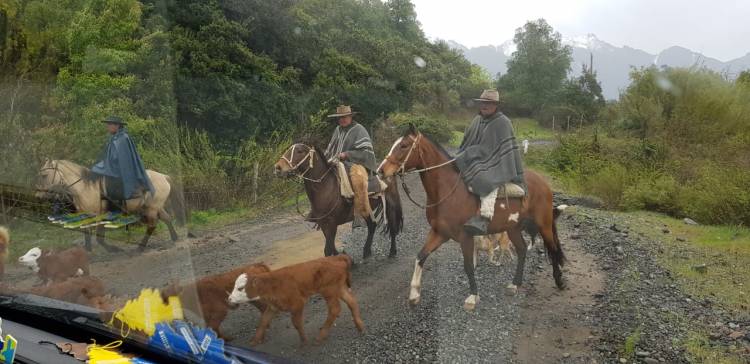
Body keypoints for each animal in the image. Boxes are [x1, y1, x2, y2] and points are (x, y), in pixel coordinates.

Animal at [36, 161, 185, 252]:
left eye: (44, 175)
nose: (38, 195)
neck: (86, 188)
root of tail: (163, 176)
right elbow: (87, 235)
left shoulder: (100, 215)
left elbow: (99, 238)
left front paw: (114, 250)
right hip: (155, 206)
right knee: (166, 219)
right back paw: (174, 238)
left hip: (152, 209)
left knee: (152, 226)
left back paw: (140, 248)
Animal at [276, 143, 406, 258]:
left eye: (299, 151)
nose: (278, 168)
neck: (325, 187)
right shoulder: (324, 224)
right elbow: (332, 247)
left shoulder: (332, 223)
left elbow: (328, 249)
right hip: (365, 207)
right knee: (372, 225)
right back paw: (366, 251)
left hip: (390, 204)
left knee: (392, 227)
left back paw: (392, 252)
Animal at [378, 126, 568, 310]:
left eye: (403, 146)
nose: (380, 171)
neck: (448, 191)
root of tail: (543, 183)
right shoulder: (439, 233)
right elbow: (420, 256)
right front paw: (414, 295)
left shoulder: (465, 236)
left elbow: (468, 266)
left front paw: (472, 297)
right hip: (512, 228)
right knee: (521, 250)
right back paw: (515, 284)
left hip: (544, 225)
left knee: (553, 249)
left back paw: (559, 281)